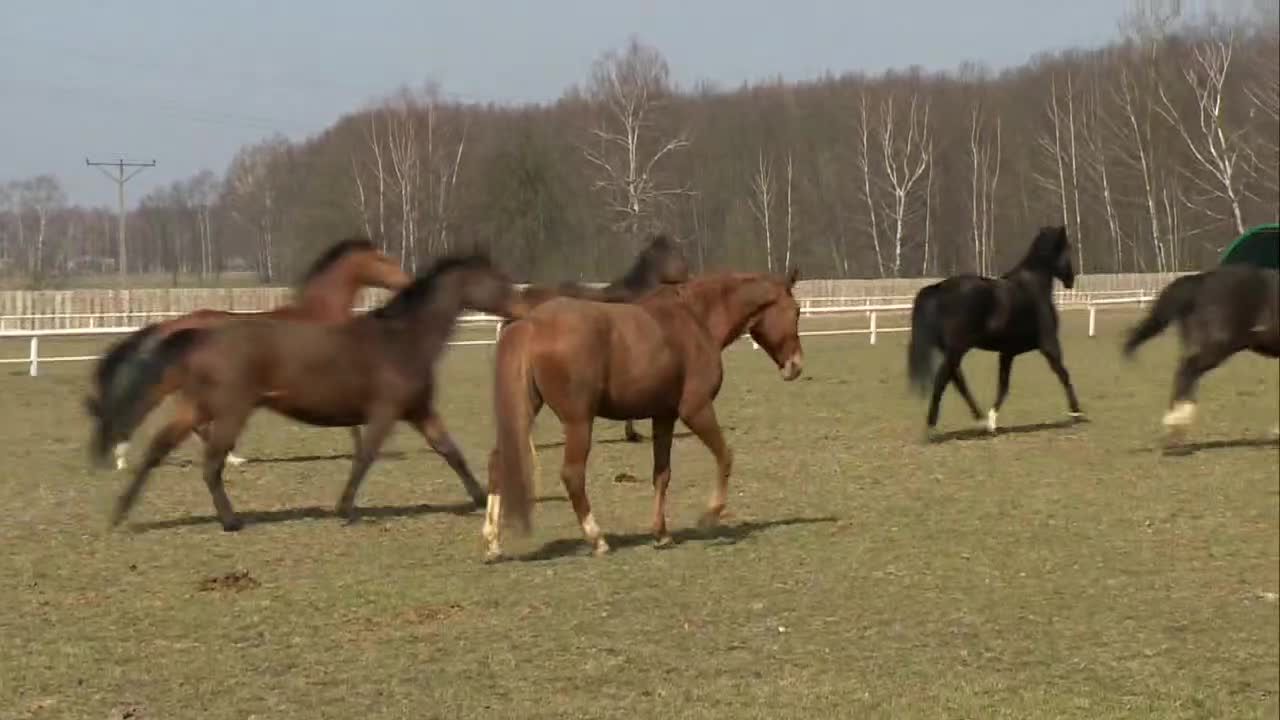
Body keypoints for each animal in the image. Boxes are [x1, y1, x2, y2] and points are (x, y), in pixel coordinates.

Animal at [481, 266, 798, 558]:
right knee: (572, 474)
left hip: (526, 411)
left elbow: (662, 474)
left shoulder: (664, 416)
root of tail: (531, 323)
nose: (795, 366)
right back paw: (597, 539)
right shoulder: (696, 409)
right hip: (578, 422)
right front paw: (710, 515)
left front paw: (661, 534)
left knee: (498, 462)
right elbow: (724, 456)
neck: (695, 319)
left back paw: (493, 542)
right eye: (795, 311)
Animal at [906, 224, 1085, 438]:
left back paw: (980, 419)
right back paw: (931, 426)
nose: (1070, 280)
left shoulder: (1007, 352)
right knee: (943, 379)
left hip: (952, 350)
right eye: (1067, 249)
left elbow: (1003, 386)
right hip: (958, 348)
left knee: (957, 380)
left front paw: (992, 423)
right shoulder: (1049, 345)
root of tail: (939, 288)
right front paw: (1076, 413)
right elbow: (1063, 374)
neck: (1034, 287)